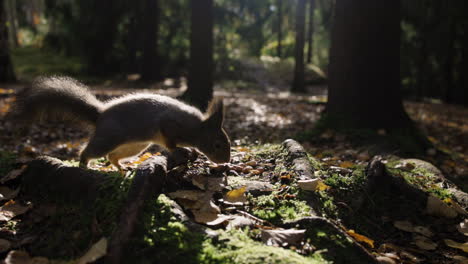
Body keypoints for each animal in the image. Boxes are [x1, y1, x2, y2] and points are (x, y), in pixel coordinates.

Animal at [10, 76, 230, 169]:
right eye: (218, 145)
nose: (226, 161)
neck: (196, 129)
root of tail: (101, 114)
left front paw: (192, 151)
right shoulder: (170, 125)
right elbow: (169, 141)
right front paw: (181, 150)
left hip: (135, 146)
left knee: (113, 156)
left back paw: (122, 170)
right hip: (108, 138)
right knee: (90, 152)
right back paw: (84, 165)